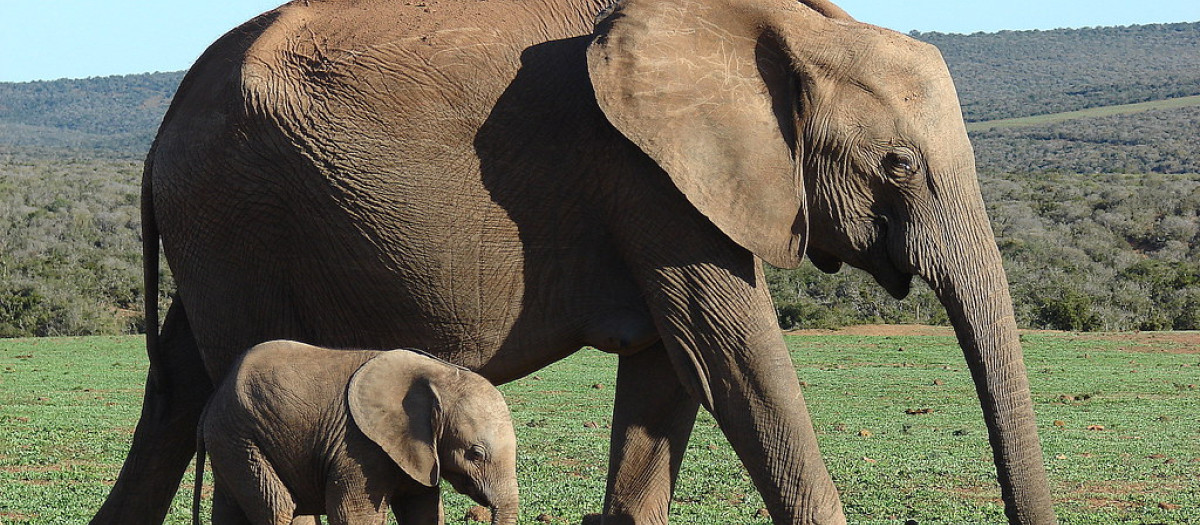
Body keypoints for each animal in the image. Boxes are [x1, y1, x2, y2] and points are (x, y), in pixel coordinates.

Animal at [193, 340, 520, 525]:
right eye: (475, 453)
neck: (439, 373)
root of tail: (213, 399)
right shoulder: (359, 446)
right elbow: (354, 514)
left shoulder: (417, 451)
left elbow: (423, 510)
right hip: (240, 438)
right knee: (278, 508)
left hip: (233, 442)